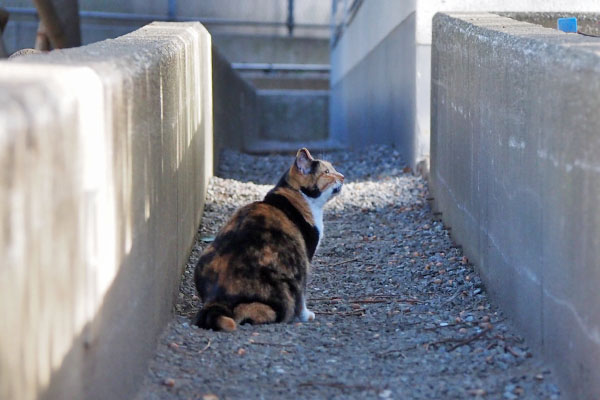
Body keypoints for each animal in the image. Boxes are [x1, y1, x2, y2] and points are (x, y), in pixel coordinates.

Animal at [195, 148, 344, 330]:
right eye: (327, 172)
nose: (343, 176)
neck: (298, 197)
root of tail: (216, 299)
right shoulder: (305, 259)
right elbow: (302, 296)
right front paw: (306, 315)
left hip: (205, 256)